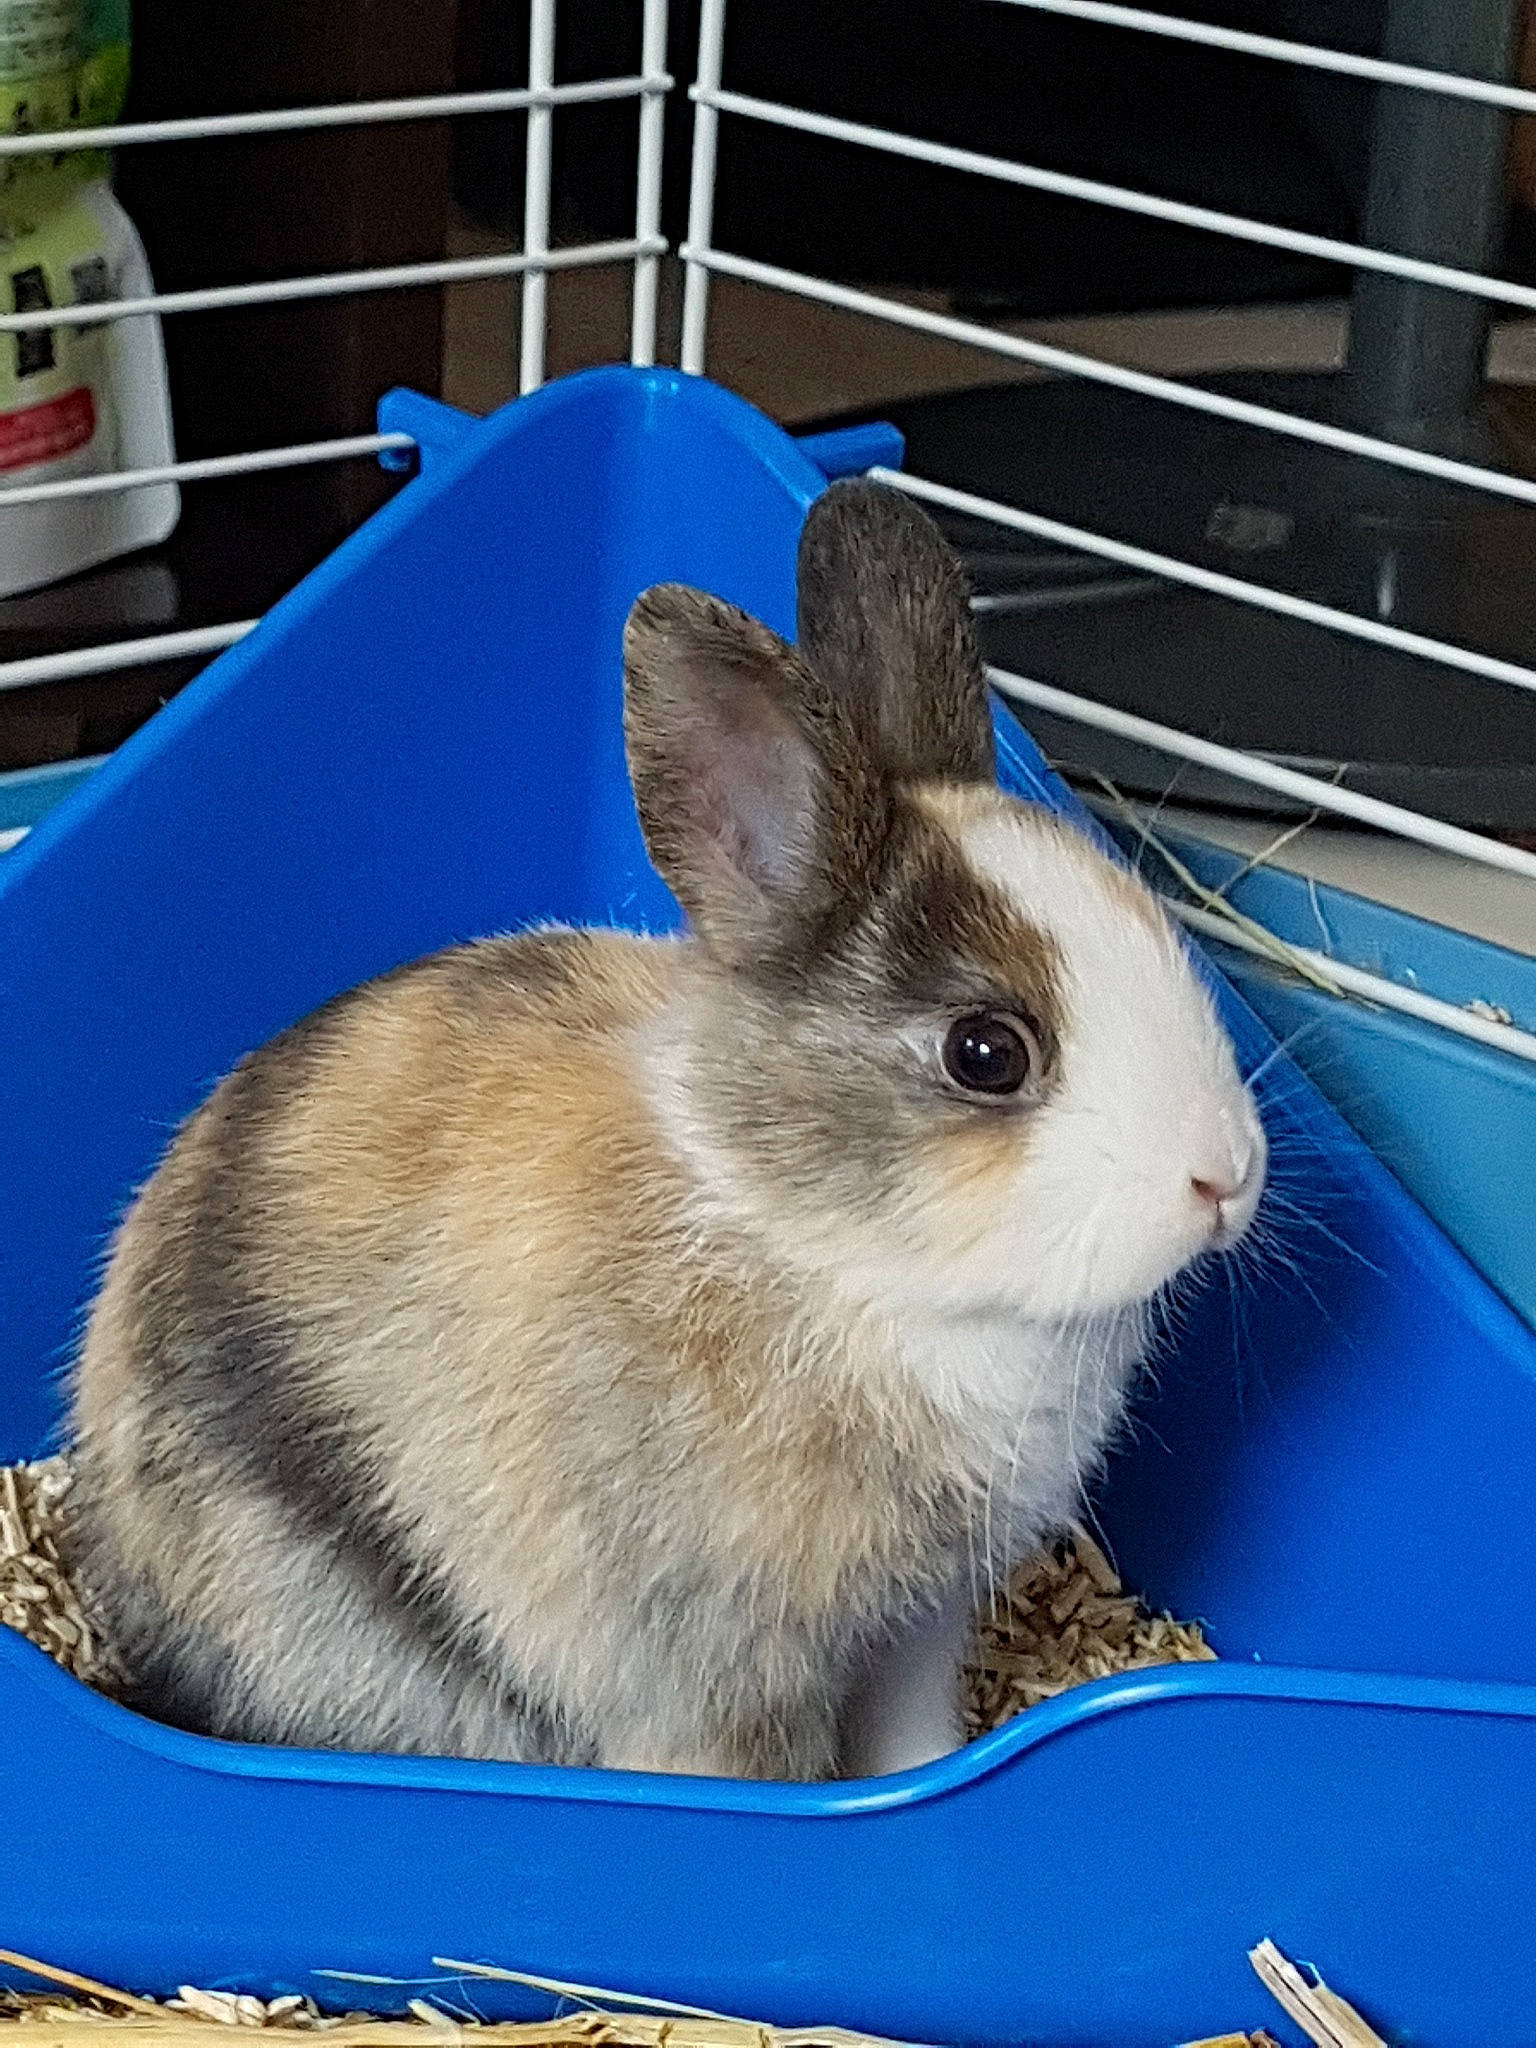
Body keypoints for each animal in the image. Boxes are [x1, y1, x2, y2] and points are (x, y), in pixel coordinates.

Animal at [63, 477, 1265, 1783]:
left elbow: (912, 1739)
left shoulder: (920, 1620)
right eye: (986, 1052)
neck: (828, 1249)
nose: (1228, 1176)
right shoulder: (721, 1672)